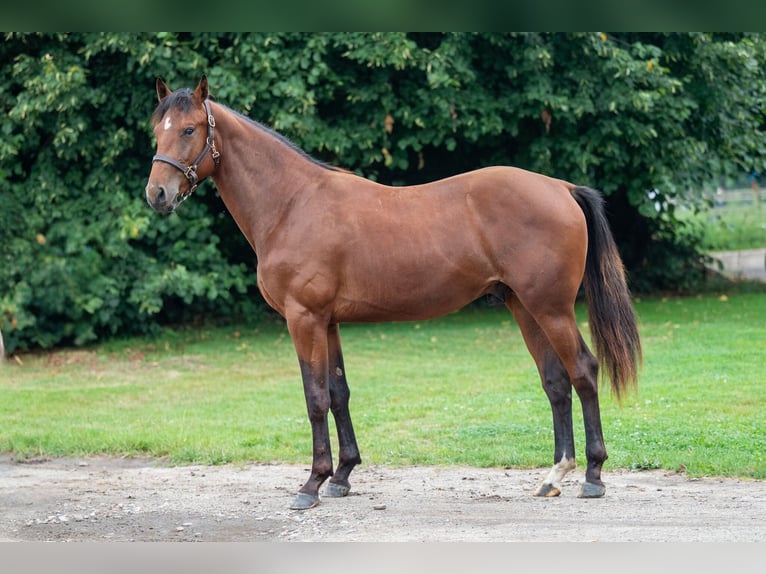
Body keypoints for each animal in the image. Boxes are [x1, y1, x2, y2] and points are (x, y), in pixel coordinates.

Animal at [144, 76, 640, 512]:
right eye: (157, 129)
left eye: (189, 129)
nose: (157, 194)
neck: (292, 203)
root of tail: (561, 187)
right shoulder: (328, 321)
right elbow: (339, 393)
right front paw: (342, 476)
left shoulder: (303, 318)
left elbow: (315, 398)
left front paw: (311, 484)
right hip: (524, 307)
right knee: (555, 382)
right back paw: (553, 476)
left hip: (551, 309)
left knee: (583, 371)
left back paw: (593, 476)